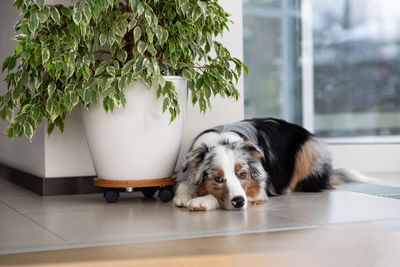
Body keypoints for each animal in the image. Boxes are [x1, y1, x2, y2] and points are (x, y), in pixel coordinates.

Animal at [173, 118, 356, 213]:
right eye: (218, 179)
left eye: (243, 175)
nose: (239, 202)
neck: (221, 140)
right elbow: (184, 183)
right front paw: (183, 195)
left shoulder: (258, 191)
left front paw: (201, 201)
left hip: (308, 149)